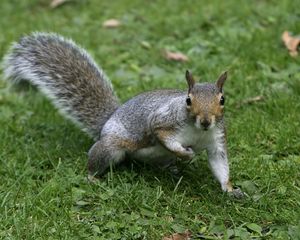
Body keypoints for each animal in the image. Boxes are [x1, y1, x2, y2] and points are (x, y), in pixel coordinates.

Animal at [2, 32, 244, 197]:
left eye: (222, 100)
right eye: (188, 100)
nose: (206, 121)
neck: (198, 131)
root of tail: (106, 123)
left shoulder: (216, 140)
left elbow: (220, 164)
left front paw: (230, 189)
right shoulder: (163, 121)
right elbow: (163, 136)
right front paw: (185, 154)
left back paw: (173, 169)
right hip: (111, 147)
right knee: (97, 160)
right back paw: (93, 178)